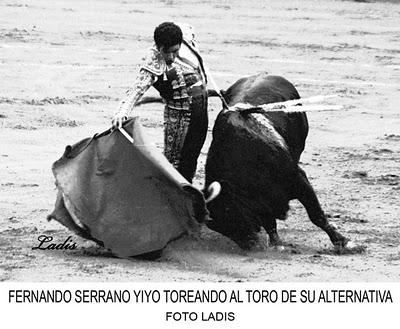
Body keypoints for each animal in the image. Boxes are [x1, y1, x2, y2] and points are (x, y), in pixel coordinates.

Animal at [203, 72, 346, 249]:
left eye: (229, 210)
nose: (250, 245)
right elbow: (269, 221)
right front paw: (276, 243)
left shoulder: (298, 180)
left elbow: (316, 215)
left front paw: (342, 241)